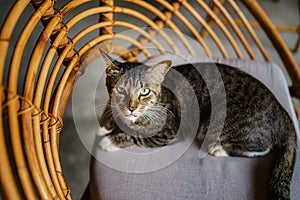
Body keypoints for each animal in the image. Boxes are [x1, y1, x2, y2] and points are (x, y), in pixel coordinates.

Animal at [97, 50, 296, 199]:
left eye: (144, 91)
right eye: (120, 89)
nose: (131, 107)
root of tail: (283, 113)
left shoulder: (169, 131)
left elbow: (136, 135)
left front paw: (110, 140)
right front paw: (105, 125)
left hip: (222, 125)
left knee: (262, 147)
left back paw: (219, 148)